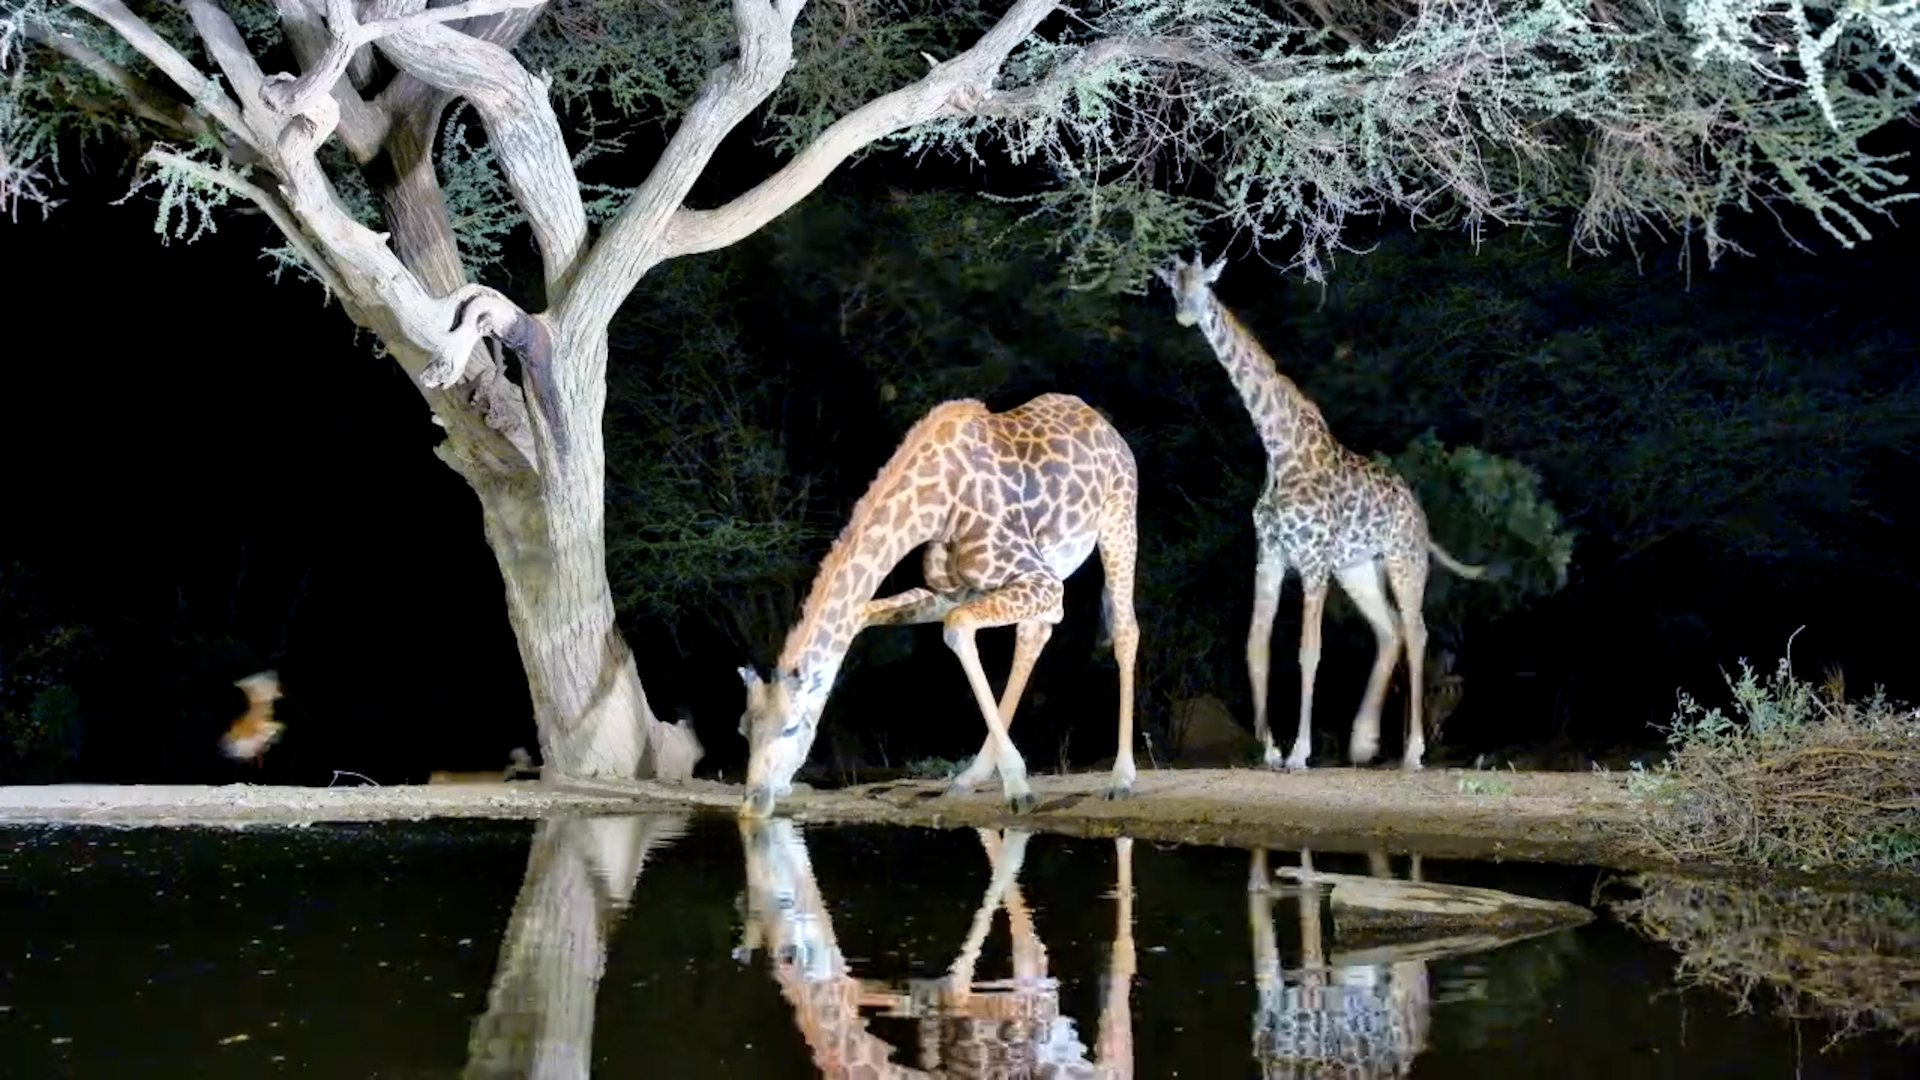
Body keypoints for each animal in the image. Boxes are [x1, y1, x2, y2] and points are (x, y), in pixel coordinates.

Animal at [739, 393, 1141, 818]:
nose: (753, 802)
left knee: (1124, 629)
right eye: (743, 728)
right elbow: (865, 615)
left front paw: (1018, 787)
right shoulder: (957, 591)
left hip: (1117, 522)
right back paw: (970, 777)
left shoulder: (1040, 580)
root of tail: (1101, 421)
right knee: (1034, 635)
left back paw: (1120, 779)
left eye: (790, 727)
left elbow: (957, 627)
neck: (936, 505)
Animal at [1156, 253, 1489, 771]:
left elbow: (1308, 652)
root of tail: (1419, 512)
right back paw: (1364, 743)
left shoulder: (1312, 561)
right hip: (1357, 568)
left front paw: (1299, 752)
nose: (1186, 315)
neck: (1279, 449)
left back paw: (1413, 752)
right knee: (1389, 630)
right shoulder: (1270, 556)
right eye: (1174, 287)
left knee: (1417, 633)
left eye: (1205, 286)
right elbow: (1256, 647)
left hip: (1403, 560)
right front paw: (1270, 749)